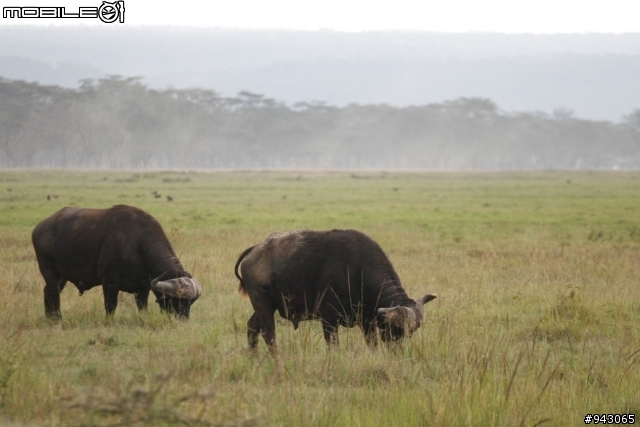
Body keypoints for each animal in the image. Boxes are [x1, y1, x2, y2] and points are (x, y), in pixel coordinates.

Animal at [32, 206, 201, 320]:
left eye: (190, 303)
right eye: (177, 301)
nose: (182, 320)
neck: (137, 244)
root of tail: (39, 228)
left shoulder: (143, 287)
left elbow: (142, 307)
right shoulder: (109, 283)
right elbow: (110, 306)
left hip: (62, 276)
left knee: (47, 291)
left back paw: (50, 319)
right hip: (49, 270)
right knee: (53, 292)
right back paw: (57, 319)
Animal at [232, 229, 438, 352]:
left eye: (411, 331)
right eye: (396, 328)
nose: (397, 349)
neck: (356, 273)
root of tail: (256, 249)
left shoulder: (367, 323)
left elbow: (372, 344)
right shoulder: (329, 319)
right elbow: (334, 345)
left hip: (266, 305)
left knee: (252, 327)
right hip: (262, 303)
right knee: (269, 333)